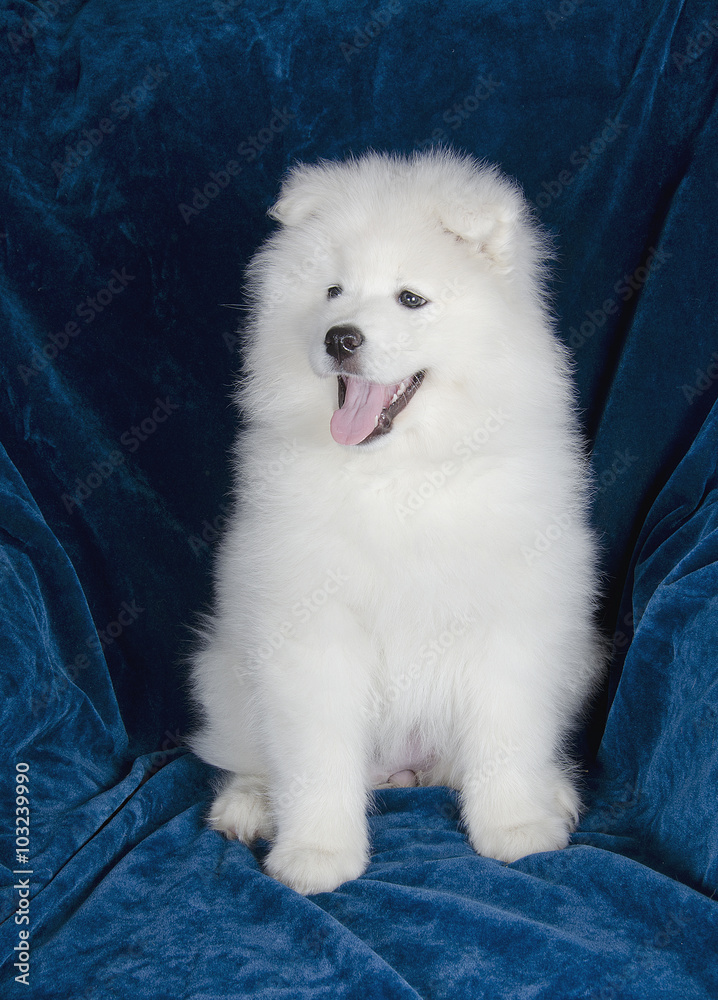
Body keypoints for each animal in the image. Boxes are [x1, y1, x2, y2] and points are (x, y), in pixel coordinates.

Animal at [188, 152, 604, 896]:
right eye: (332, 291)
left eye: (410, 299)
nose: (339, 338)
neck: (403, 473)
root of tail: (405, 768)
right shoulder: (312, 628)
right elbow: (317, 756)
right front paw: (317, 854)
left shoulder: (511, 621)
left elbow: (506, 735)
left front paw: (517, 828)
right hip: (223, 672)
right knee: (249, 753)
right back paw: (249, 804)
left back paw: (551, 790)